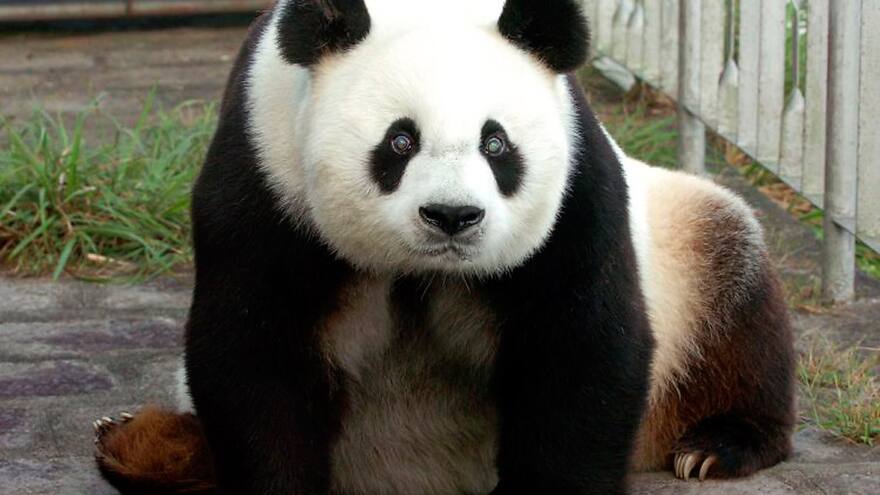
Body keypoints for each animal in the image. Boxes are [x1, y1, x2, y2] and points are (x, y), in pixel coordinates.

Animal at [93, 0, 795, 494]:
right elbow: (255, 351)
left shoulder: (575, 191)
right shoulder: (264, 173)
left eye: (496, 143)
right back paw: (137, 443)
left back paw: (715, 445)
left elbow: (581, 345)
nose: (452, 216)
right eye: (400, 141)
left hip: (687, 242)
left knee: (736, 280)